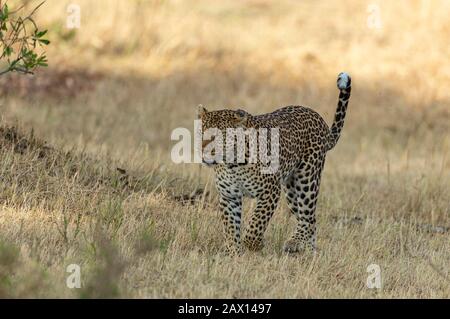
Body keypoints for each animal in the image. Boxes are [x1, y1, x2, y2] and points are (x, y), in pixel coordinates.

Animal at [197, 72, 352, 255]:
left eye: (219, 137)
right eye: (201, 133)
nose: (203, 151)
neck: (232, 164)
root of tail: (318, 118)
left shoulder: (270, 192)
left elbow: (256, 223)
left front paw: (253, 245)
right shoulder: (229, 196)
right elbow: (230, 228)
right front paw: (233, 252)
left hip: (307, 180)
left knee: (308, 217)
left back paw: (295, 242)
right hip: (291, 189)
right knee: (309, 220)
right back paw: (308, 249)